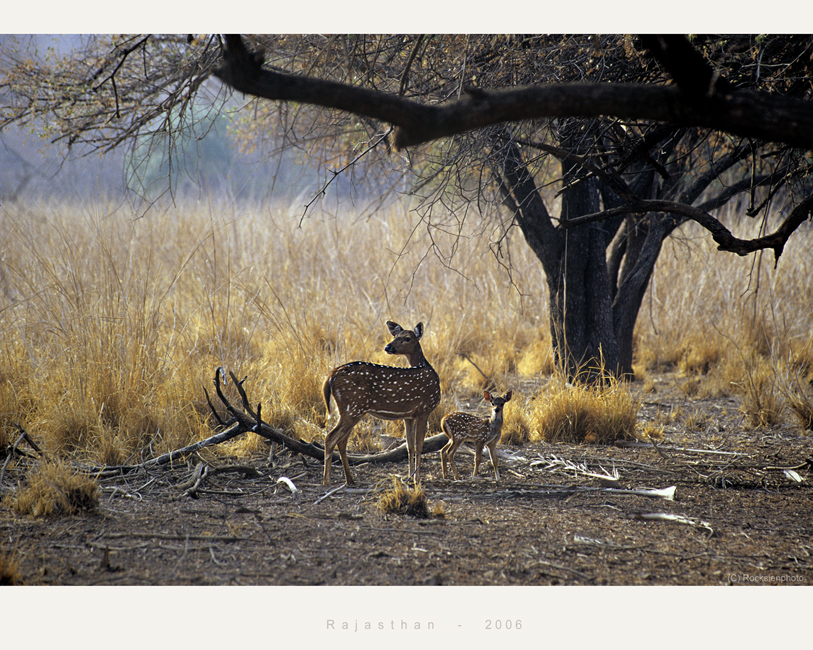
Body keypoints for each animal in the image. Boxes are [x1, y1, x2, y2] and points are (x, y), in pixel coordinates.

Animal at [320, 322, 440, 484]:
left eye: (407, 338)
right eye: (395, 336)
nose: (388, 347)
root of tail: (331, 376)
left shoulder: (408, 415)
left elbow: (410, 446)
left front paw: (409, 477)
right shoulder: (425, 409)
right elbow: (419, 445)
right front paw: (417, 478)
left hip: (348, 410)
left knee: (341, 440)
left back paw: (350, 479)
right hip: (353, 408)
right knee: (330, 438)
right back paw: (327, 481)